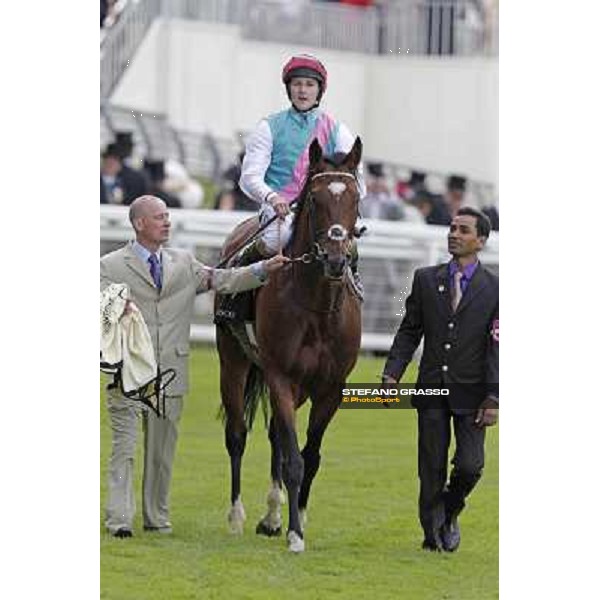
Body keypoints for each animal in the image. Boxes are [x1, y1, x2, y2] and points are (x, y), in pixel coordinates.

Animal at [217, 137, 360, 552]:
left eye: (356, 198)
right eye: (314, 198)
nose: (335, 259)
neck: (317, 309)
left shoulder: (331, 389)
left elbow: (308, 456)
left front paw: (298, 519)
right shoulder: (280, 375)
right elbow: (294, 460)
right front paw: (295, 535)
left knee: (277, 438)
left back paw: (271, 517)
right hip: (233, 362)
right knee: (237, 435)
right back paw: (237, 516)